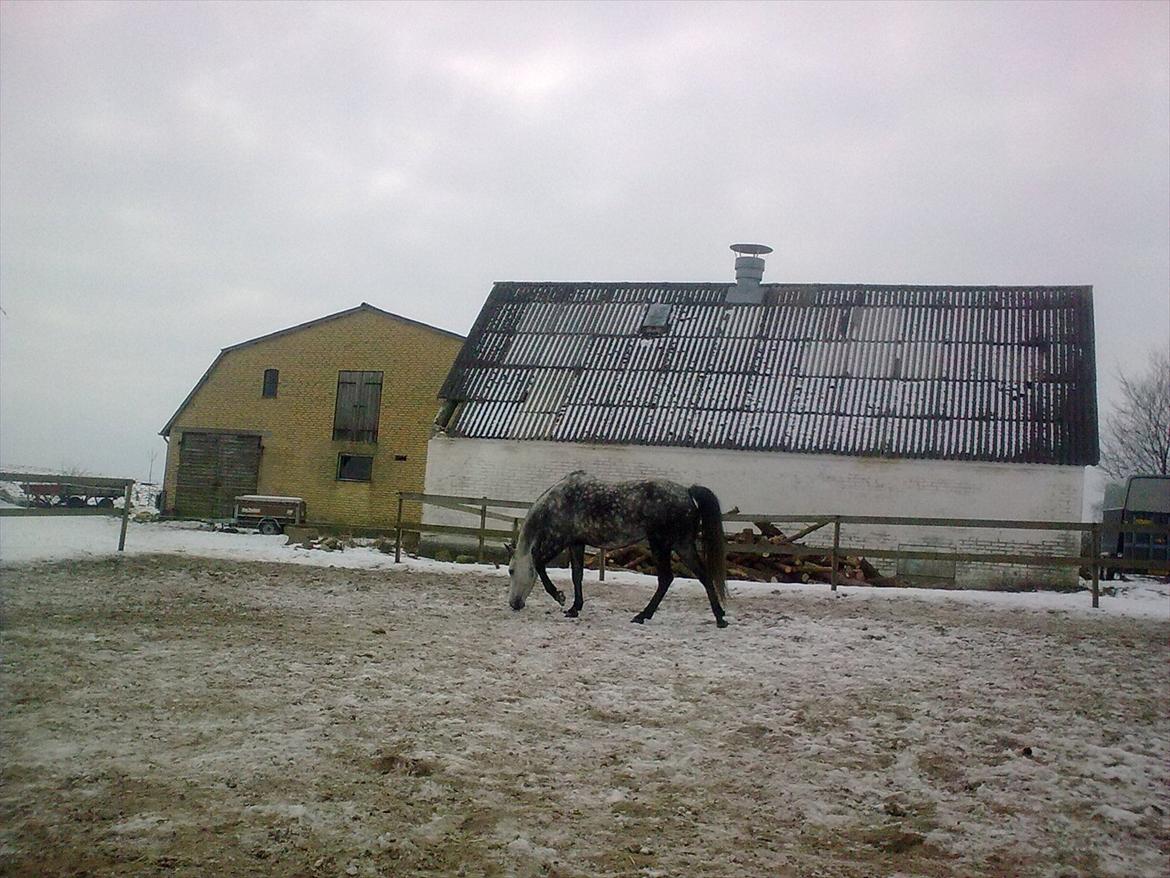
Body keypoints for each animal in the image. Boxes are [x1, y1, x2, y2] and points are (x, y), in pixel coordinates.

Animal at [505, 475, 725, 627]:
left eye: (511, 570)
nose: (514, 604)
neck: (557, 503)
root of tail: (687, 492)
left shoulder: (559, 540)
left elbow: (539, 562)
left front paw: (559, 597)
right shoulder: (576, 543)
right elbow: (577, 575)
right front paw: (574, 608)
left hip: (661, 544)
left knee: (666, 579)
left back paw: (642, 616)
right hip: (682, 545)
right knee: (703, 575)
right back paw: (720, 617)